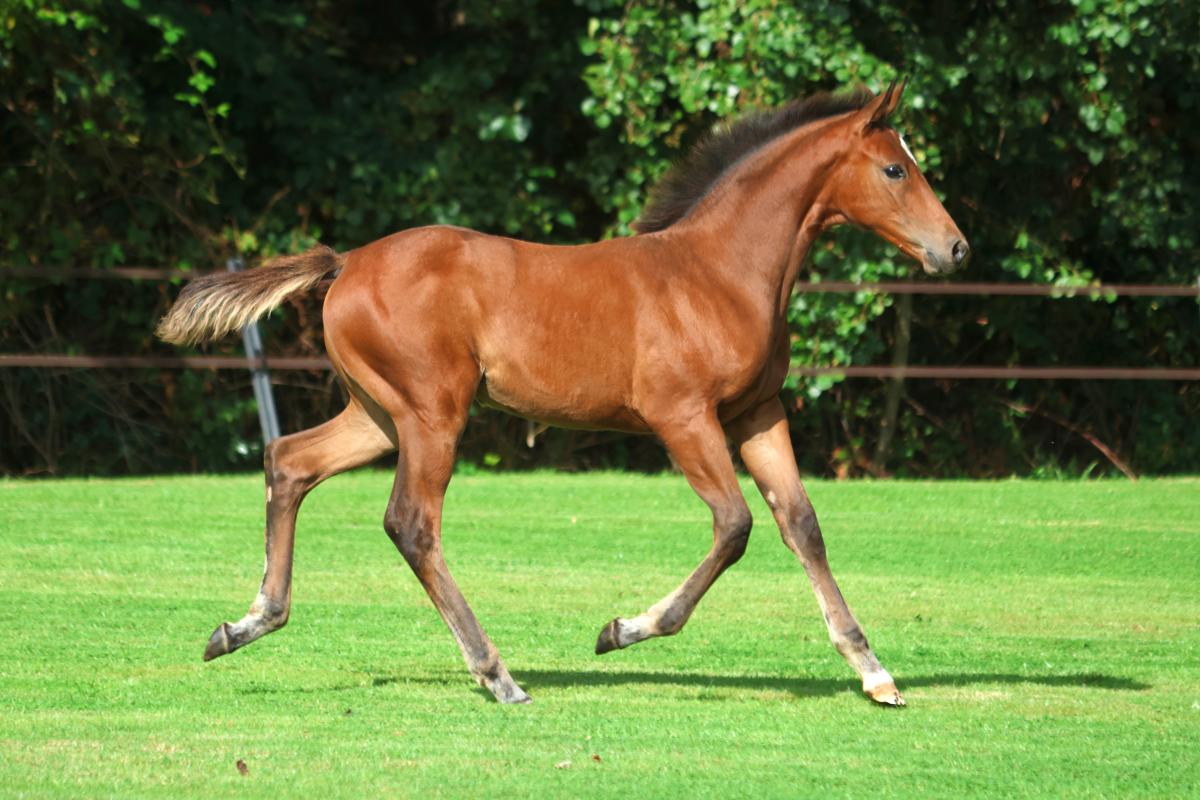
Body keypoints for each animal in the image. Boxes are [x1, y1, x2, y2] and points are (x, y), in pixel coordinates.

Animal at [157, 79, 968, 707]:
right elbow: (735, 526)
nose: (956, 249)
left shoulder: (756, 415)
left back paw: (244, 625)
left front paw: (874, 672)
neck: (719, 272)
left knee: (289, 461)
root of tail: (347, 261)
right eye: (895, 169)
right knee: (411, 523)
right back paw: (497, 676)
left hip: (379, 414)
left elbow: (802, 524)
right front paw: (622, 630)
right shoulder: (682, 417)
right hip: (432, 413)